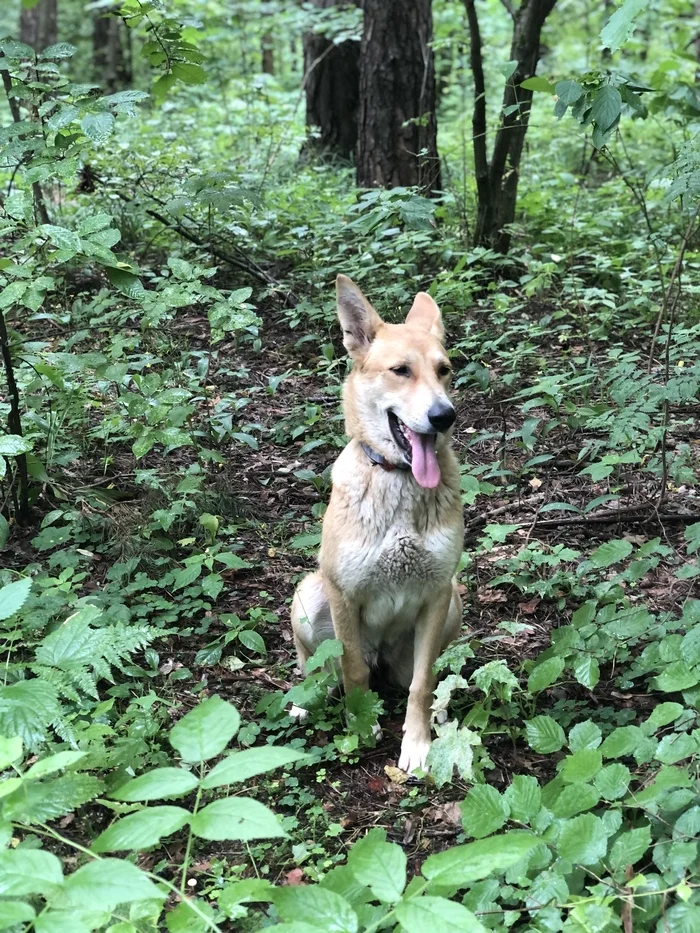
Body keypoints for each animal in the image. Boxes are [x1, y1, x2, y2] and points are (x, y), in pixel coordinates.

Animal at [290, 274, 464, 768]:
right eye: (401, 370)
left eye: (444, 370)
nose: (444, 416)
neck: (399, 484)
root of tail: (381, 656)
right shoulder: (343, 593)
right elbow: (351, 671)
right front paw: (361, 726)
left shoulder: (436, 594)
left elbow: (423, 682)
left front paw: (418, 744)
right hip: (306, 596)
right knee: (318, 668)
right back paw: (305, 701)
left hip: (455, 603)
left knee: (426, 680)